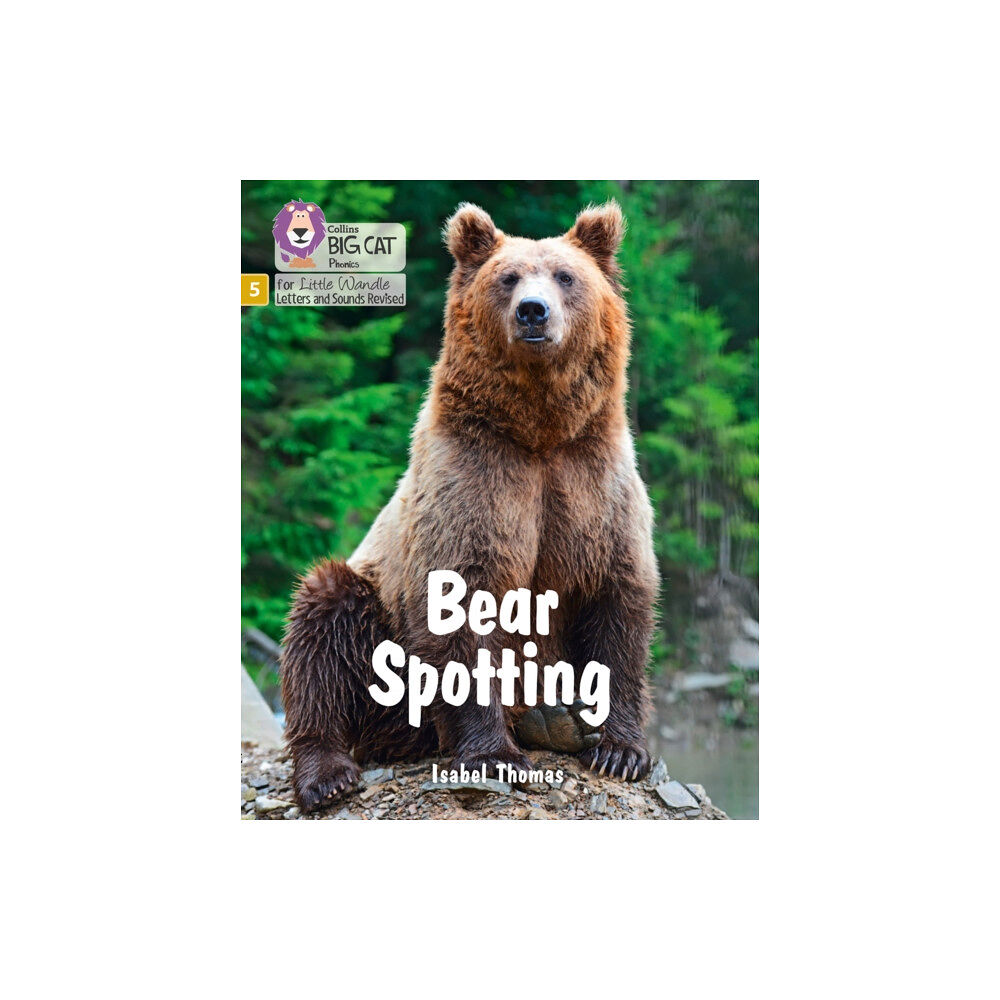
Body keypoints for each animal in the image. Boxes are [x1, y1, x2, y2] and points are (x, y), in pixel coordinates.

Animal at [281, 201, 659, 812]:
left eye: (565, 276)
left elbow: (618, 602)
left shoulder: (592, 483)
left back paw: (553, 719)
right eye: (508, 278)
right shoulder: (474, 479)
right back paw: (327, 773)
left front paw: (619, 750)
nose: (533, 312)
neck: (538, 431)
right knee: (322, 625)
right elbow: (462, 604)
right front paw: (494, 755)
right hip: (376, 623)